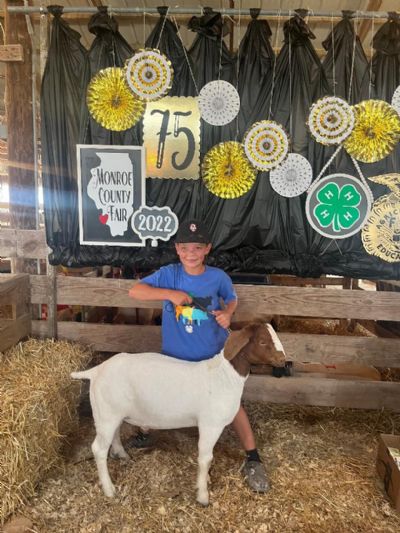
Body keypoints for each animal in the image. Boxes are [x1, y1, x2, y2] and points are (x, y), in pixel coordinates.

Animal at [70, 320, 286, 502]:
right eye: (262, 341)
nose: (283, 360)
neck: (224, 376)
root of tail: (96, 371)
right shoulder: (210, 424)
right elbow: (205, 458)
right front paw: (202, 495)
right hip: (107, 414)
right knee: (98, 449)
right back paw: (109, 490)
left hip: (111, 412)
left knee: (113, 434)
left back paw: (122, 455)